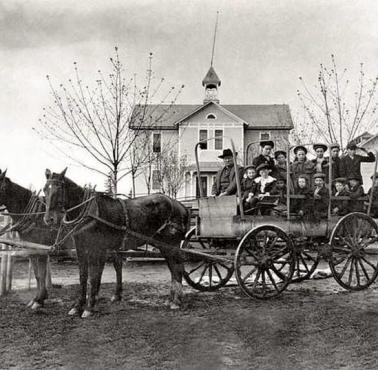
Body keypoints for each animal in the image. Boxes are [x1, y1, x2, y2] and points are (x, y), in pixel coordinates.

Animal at [0, 169, 124, 308]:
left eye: (1, 188)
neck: (34, 216)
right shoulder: (31, 250)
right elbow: (37, 275)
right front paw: (37, 298)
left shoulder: (41, 251)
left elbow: (41, 275)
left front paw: (39, 300)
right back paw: (97, 295)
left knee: (117, 263)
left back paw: (116, 295)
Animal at [43, 169, 189, 316]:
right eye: (45, 190)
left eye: (59, 188)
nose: (49, 219)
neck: (89, 213)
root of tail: (180, 205)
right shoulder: (81, 248)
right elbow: (83, 277)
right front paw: (78, 305)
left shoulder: (96, 249)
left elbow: (93, 277)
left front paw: (89, 307)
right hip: (163, 245)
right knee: (173, 268)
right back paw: (171, 299)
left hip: (171, 244)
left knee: (177, 268)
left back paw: (176, 301)